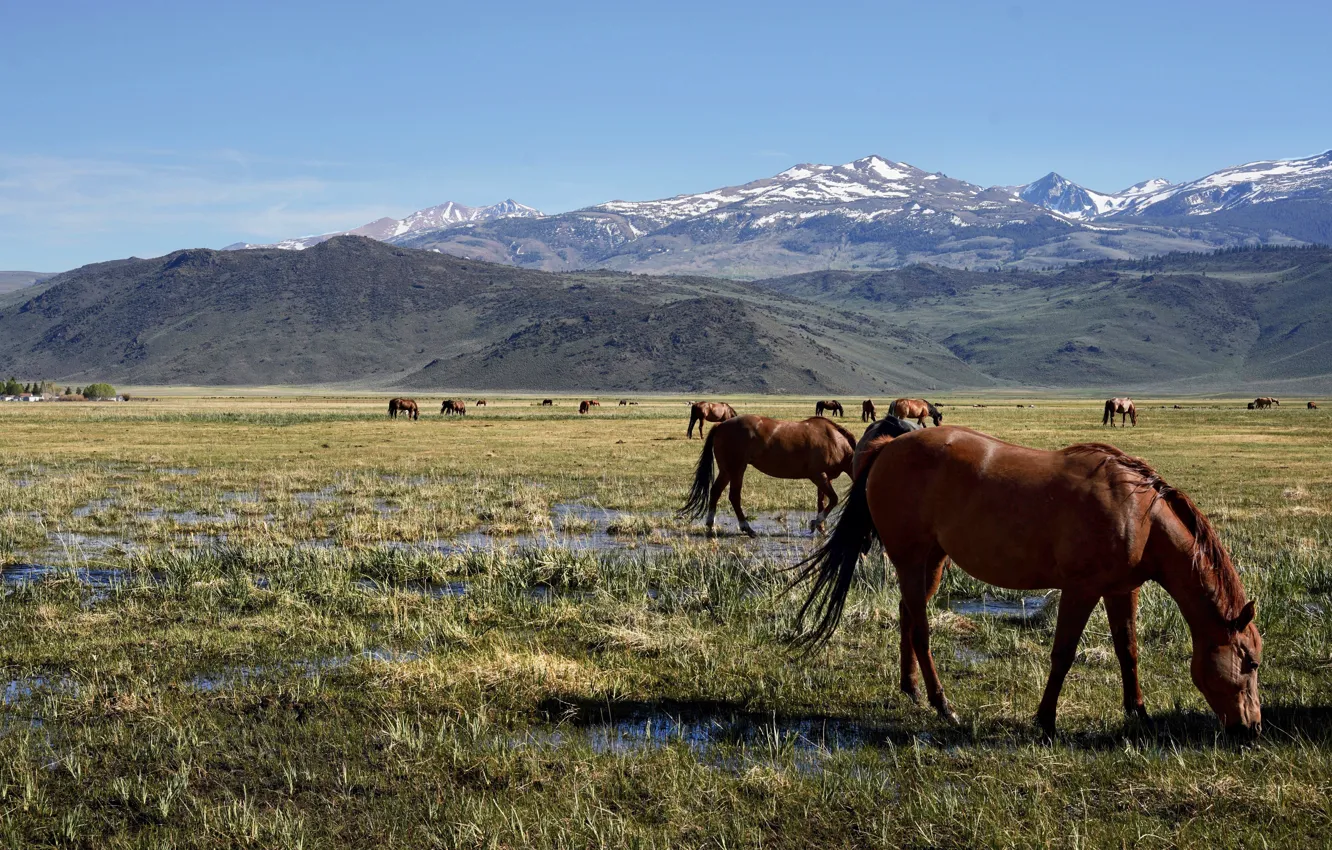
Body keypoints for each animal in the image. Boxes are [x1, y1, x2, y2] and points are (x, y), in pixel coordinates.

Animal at [680, 416, 859, 537]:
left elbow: (822, 502)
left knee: (716, 492)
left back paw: (710, 526)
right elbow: (833, 499)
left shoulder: (824, 478)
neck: (834, 440)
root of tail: (721, 425)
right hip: (737, 469)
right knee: (734, 497)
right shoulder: (818, 476)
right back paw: (747, 528)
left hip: (726, 471)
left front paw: (820, 527)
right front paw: (817, 523)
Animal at [792, 426, 1262, 740]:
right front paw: (1046, 720)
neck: (1139, 513)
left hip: (931, 561)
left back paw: (911, 689)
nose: (1252, 727)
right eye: (1250, 662)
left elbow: (1128, 651)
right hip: (909, 558)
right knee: (921, 630)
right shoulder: (1082, 590)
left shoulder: (1121, 591)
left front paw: (1138, 712)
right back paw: (943, 705)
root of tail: (888, 447)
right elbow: (1063, 655)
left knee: (908, 615)